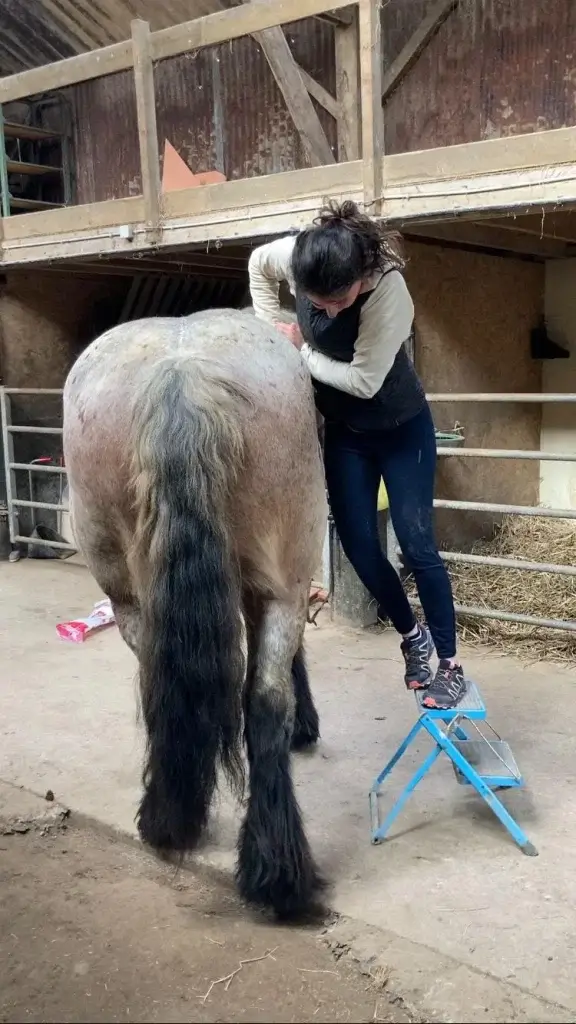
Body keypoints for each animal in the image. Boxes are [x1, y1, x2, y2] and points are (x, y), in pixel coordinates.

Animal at [62, 308, 328, 918]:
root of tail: (180, 375)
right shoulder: (278, 587)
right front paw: (306, 724)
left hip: (129, 597)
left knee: (161, 687)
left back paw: (173, 820)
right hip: (282, 583)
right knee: (265, 701)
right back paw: (275, 871)